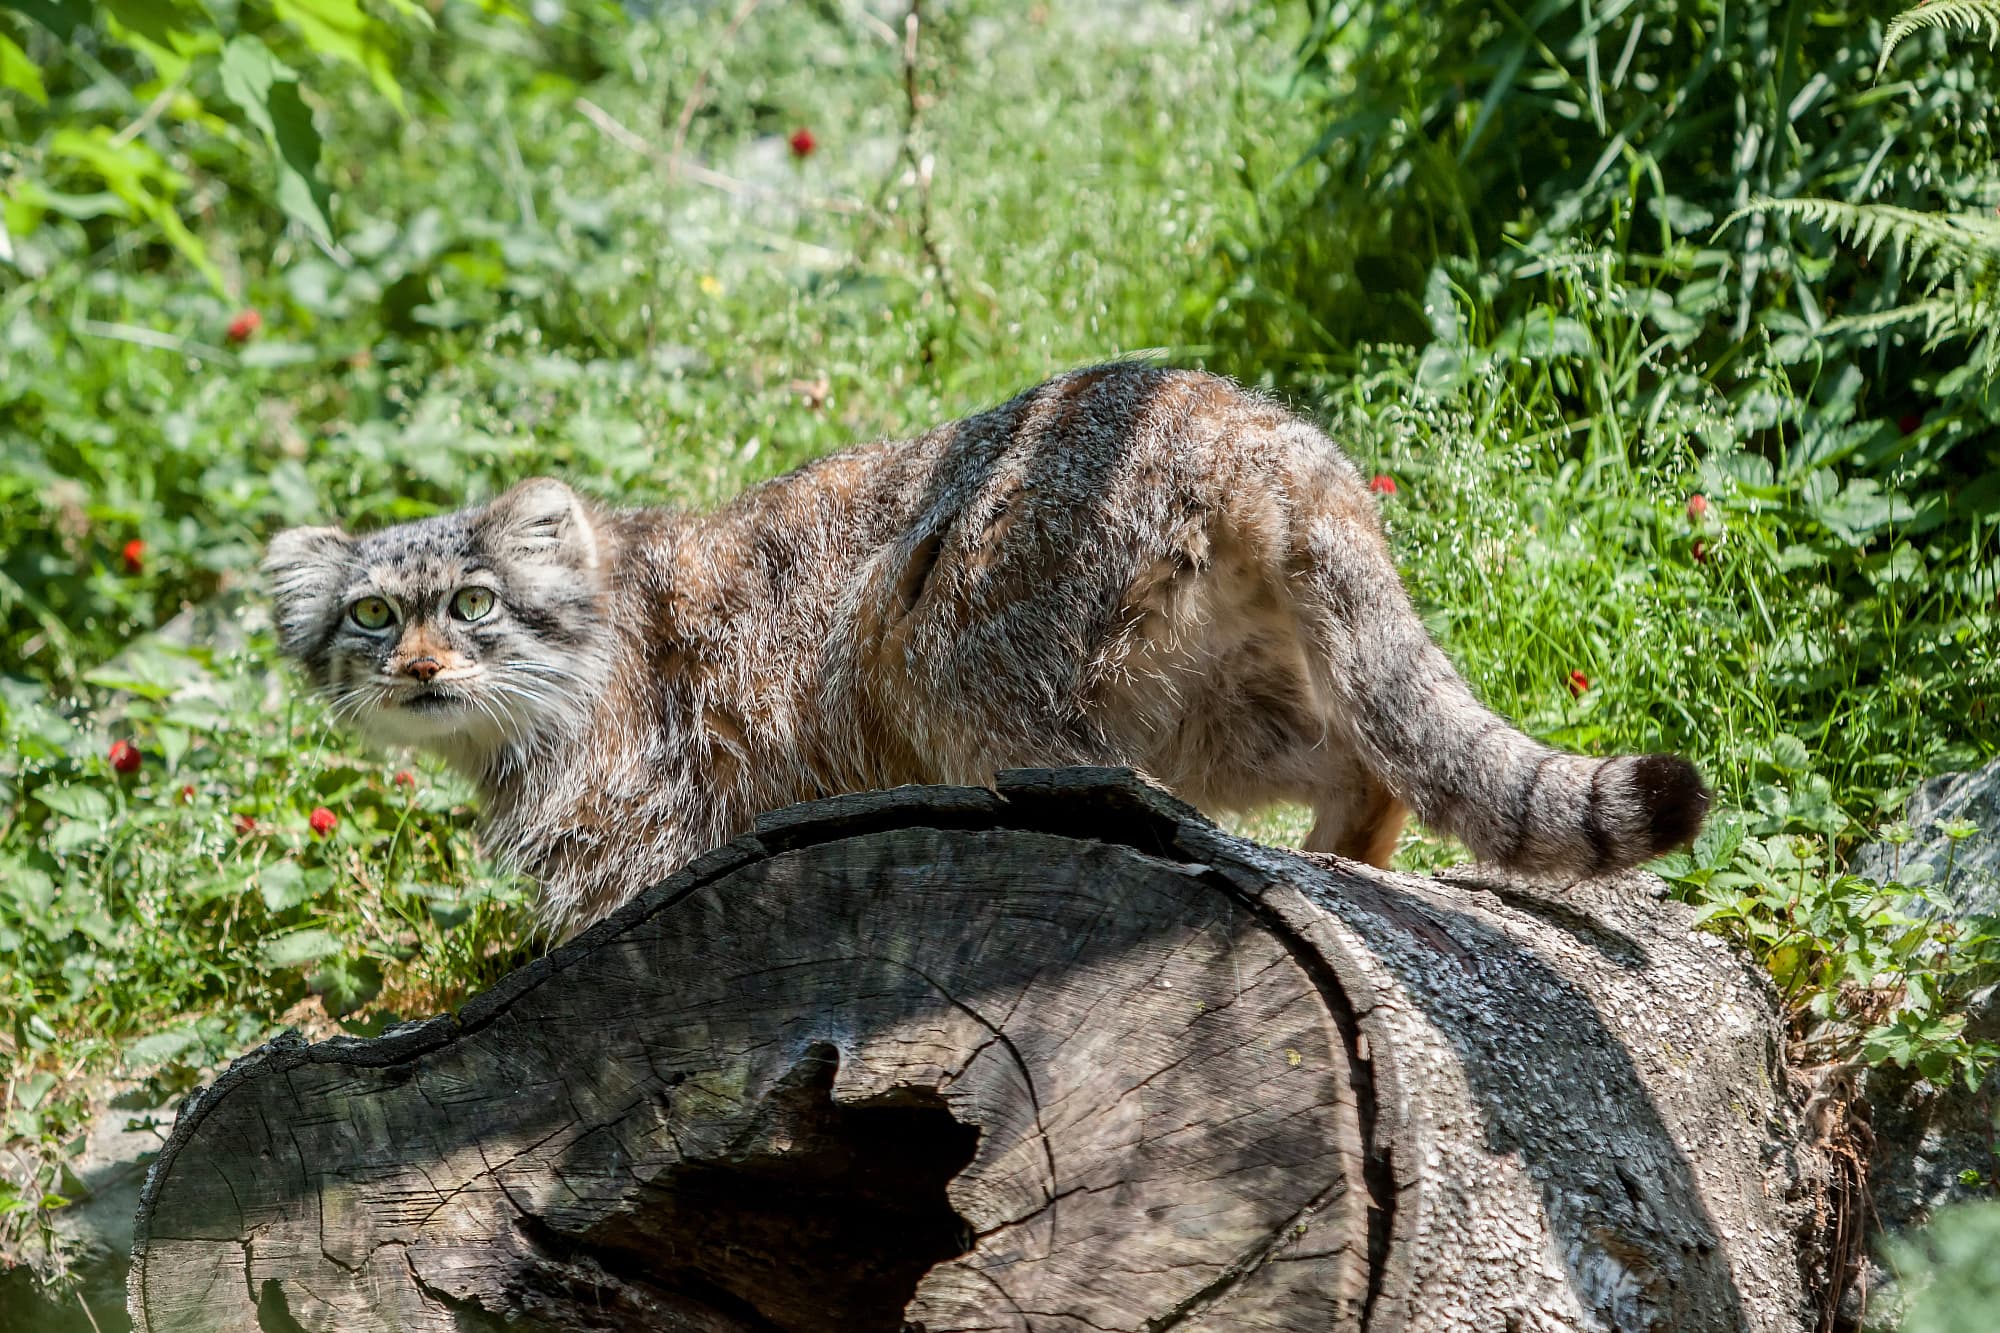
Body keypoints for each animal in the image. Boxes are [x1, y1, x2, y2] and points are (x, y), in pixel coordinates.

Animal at [262, 358, 1704, 928]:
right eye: (372, 616)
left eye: (476, 604)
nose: (417, 667)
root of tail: (1242, 418)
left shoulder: (640, 842)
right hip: (1213, 693)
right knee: (1360, 760)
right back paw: (1347, 860)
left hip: (958, 651)